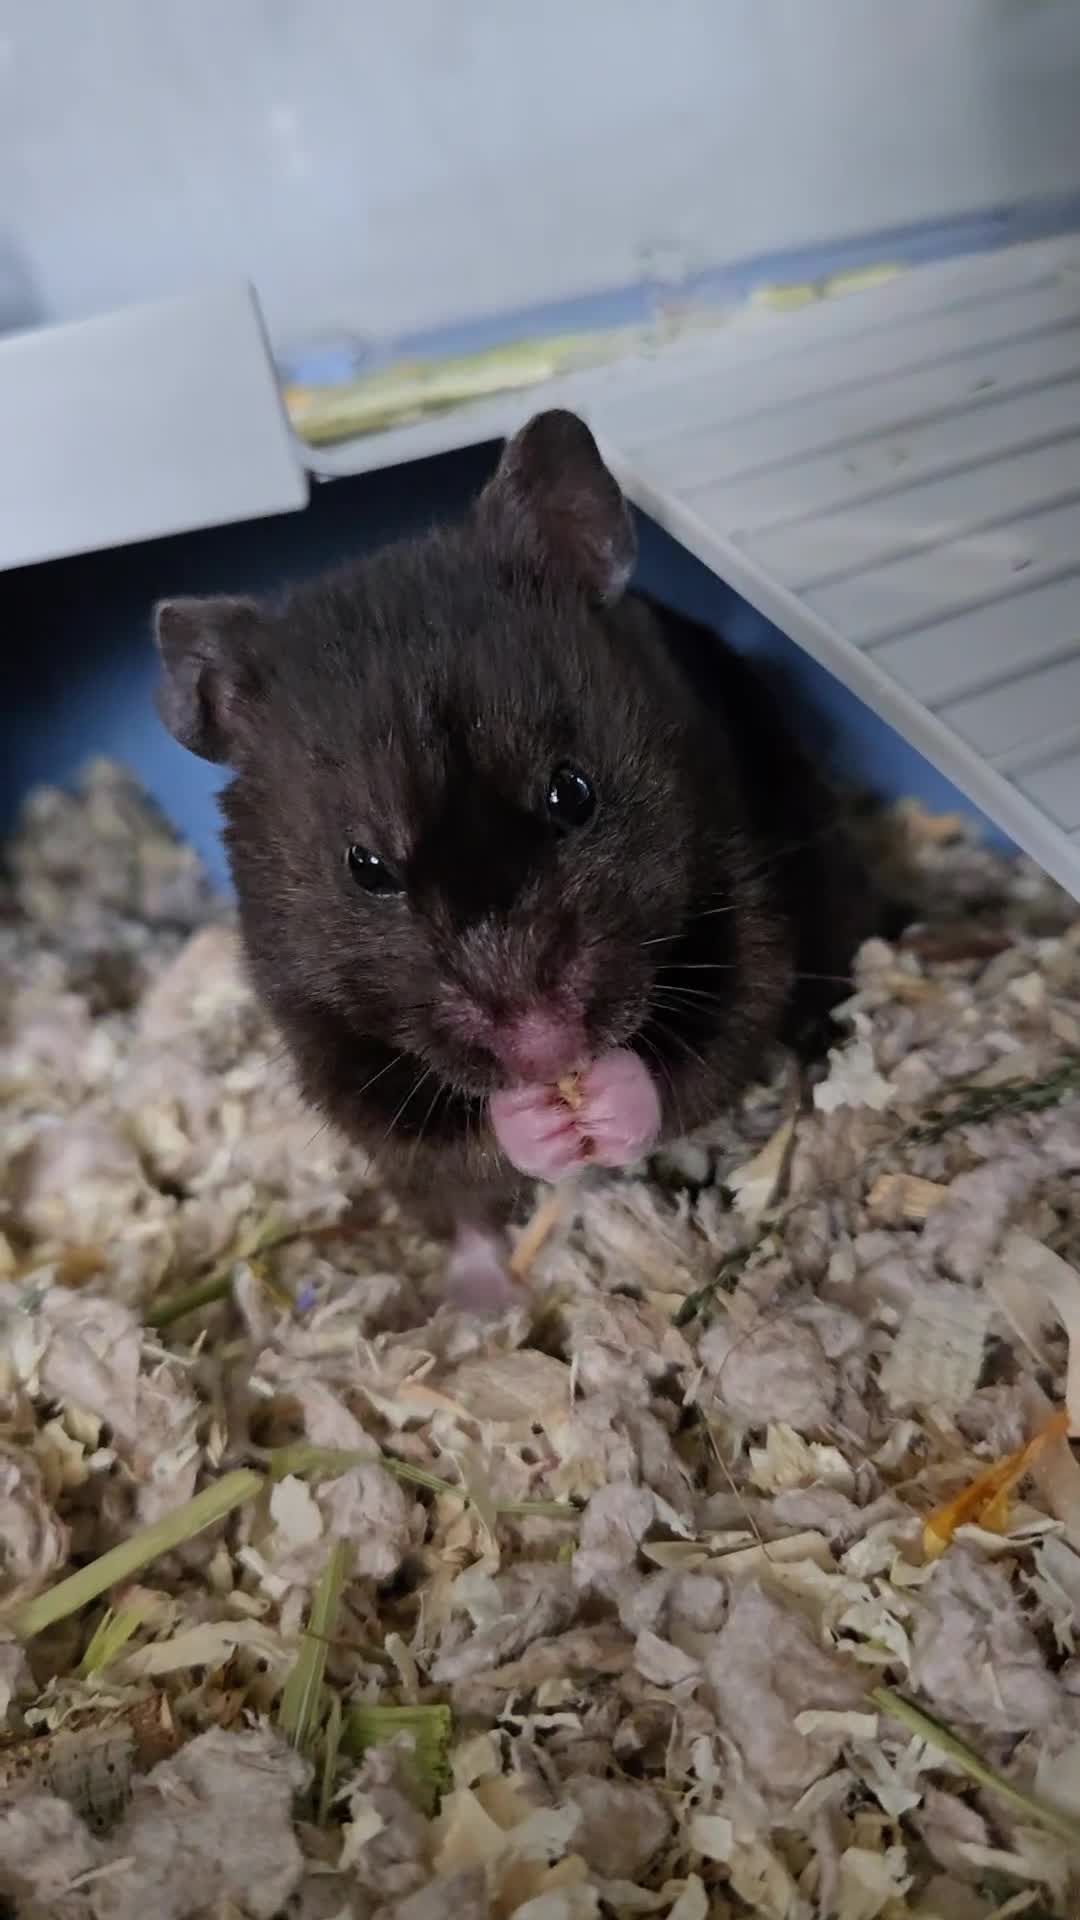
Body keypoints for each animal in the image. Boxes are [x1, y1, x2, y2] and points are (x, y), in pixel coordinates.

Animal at [153, 409, 875, 1306]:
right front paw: (541, 1120)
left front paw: (600, 1103)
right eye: (366, 868)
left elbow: (697, 1061)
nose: (548, 1052)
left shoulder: (741, 902)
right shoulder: (319, 1033)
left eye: (574, 792)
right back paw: (482, 1302)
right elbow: (451, 1137)